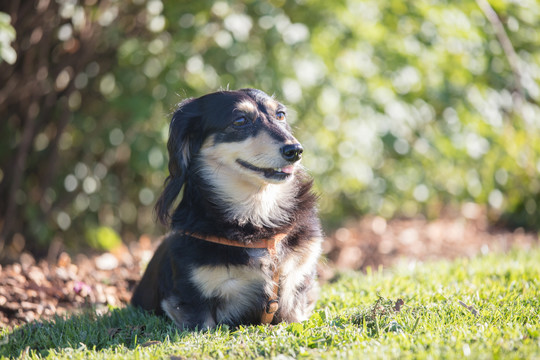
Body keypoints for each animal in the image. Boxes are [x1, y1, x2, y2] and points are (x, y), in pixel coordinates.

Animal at [131, 89, 322, 330]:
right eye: (240, 120)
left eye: (280, 115)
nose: (295, 150)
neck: (257, 222)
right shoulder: (191, 303)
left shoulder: (296, 288)